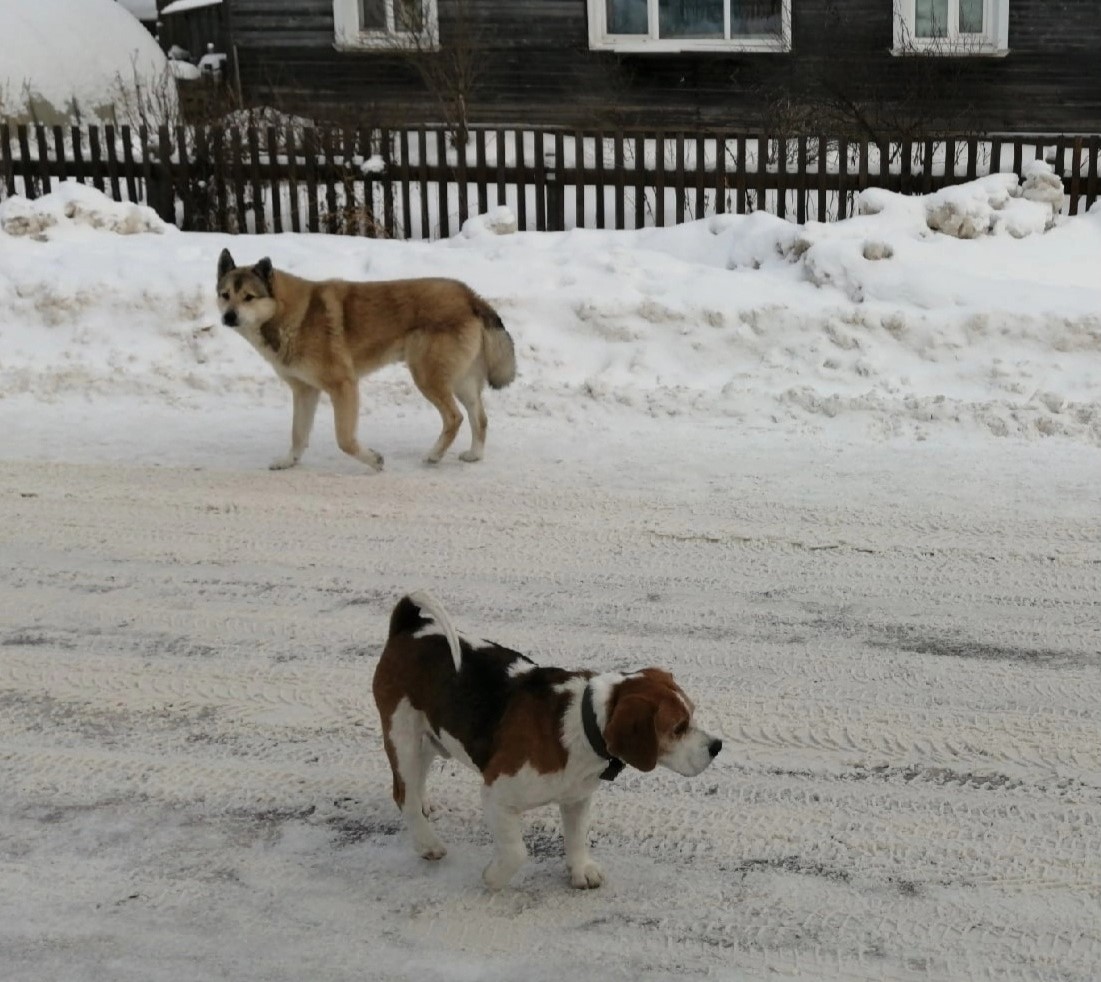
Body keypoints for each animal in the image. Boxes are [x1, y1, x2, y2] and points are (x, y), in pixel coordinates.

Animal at [214, 251, 515, 468]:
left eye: (249, 297)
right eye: (225, 295)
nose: (228, 317)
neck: (289, 315)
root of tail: (470, 295)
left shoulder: (343, 386)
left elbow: (345, 440)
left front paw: (373, 460)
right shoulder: (305, 391)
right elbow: (298, 434)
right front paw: (289, 461)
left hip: (427, 377)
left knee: (455, 418)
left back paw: (434, 456)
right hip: (461, 381)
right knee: (480, 418)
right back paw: (474, 455)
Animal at [374, 590, 726, 889]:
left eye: (692, 714)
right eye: (678, 727)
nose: (717, 746)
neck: (583, 725)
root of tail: (409, 626)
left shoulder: (576, 798)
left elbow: (577, 837)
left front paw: (580, 870)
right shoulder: (496, 794)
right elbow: (516, 852)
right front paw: (494, 877)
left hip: (427, 739)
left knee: (414, 784)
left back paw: (425, 805)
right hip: (403, 738)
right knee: (402, 794)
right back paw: (427, 843)